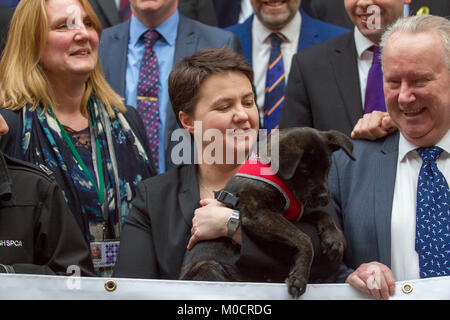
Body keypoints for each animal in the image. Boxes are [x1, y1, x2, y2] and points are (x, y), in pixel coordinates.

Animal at [179, 127, 356, 298]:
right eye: (305, 170)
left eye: (328, 167)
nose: (324, 197)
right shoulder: (259, 213)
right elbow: (304, 238)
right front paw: (299, 277)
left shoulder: (293, 215)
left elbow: (322, 215)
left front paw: (334, 238)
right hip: (210, 266)